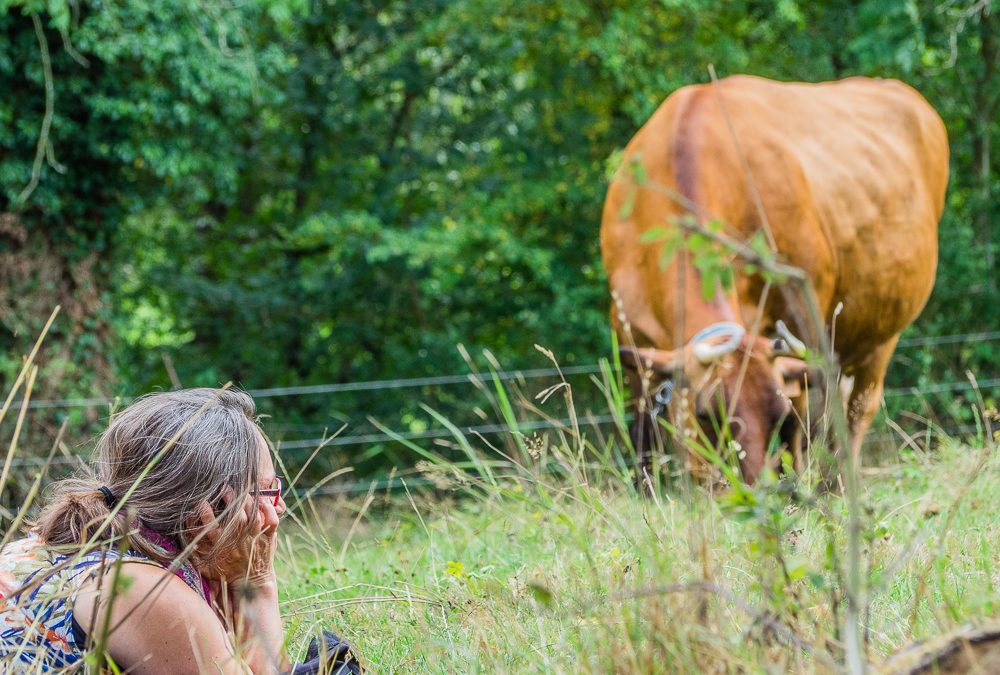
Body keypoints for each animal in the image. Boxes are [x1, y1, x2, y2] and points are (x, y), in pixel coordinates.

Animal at [600, 75, 949, 487]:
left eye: (775, 416)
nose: (751, 490)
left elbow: (798, 429)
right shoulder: (628, 334)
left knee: (855, 411)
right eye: (706, 414)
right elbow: (643, 435)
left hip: (881, 332)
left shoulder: (802, 316)